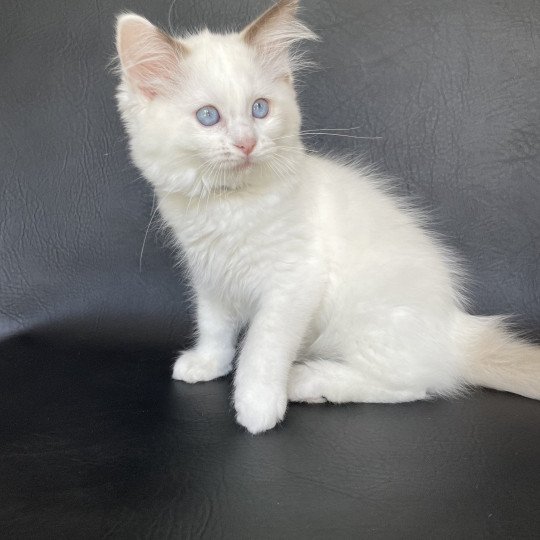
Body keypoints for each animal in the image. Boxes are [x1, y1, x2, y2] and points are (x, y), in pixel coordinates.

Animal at [115, 0, 540, 432]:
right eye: (207, 117)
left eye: (259, 109)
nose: (247, 143)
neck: (231, 204)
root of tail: (456, 330)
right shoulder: (210, 275)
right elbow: (214, 326)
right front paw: (208, 363)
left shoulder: (293, 282)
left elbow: (262, 348)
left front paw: (257, 408)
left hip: (368, 321)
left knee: (412, 386)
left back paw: (307, 380)